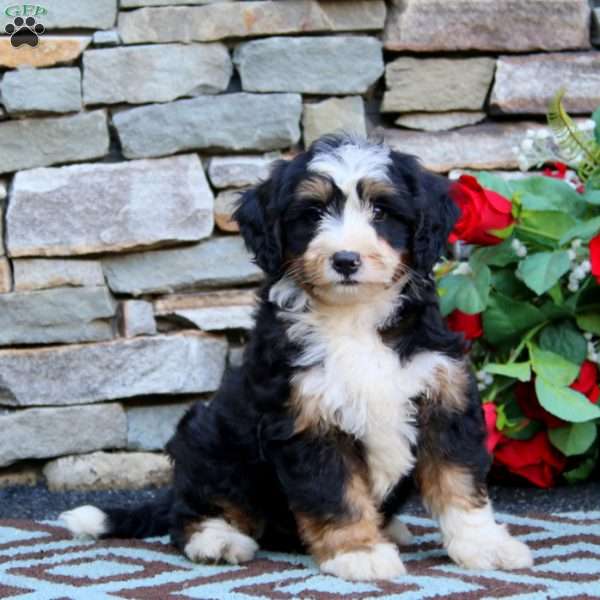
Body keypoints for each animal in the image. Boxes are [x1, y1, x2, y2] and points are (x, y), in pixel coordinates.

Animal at [61, 136, 532, 580]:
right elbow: (336, 493)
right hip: (206, 437)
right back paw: (216, 540)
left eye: (381, 211)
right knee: (193, 509)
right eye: (312, 213)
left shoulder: (442, 395)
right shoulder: (307, 417)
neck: (355, 318)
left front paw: (484, 545)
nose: (345, 260)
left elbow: (458, 481)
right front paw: (359, 553)